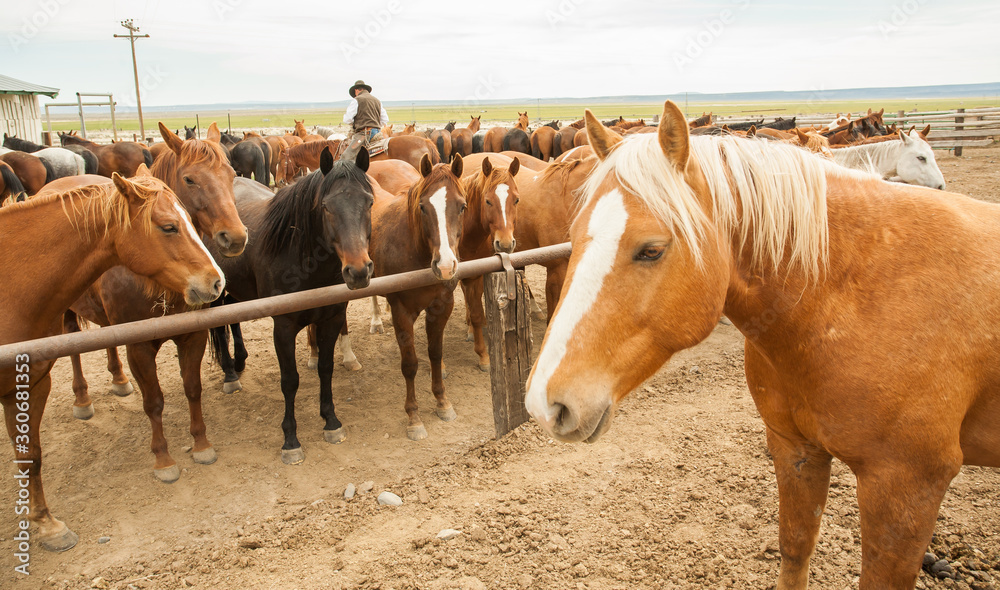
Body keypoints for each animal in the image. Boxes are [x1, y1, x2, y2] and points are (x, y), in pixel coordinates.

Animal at [0, 171, 223, 556]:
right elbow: (154, 402)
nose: (216, 281)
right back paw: (83, 399)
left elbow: (31, 453)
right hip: (70, 316)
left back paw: (119, 381)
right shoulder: (138, 346)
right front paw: (164, 461)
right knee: (75, 349)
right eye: (168, 227)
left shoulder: (28, 384)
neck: (11, 283)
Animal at [524, 99, 1000, 588]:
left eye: (651, 250)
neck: (855, 293)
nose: (544, 403)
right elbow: (794, 548)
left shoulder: (907, 485)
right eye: (574, 235)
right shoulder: (795, 449)